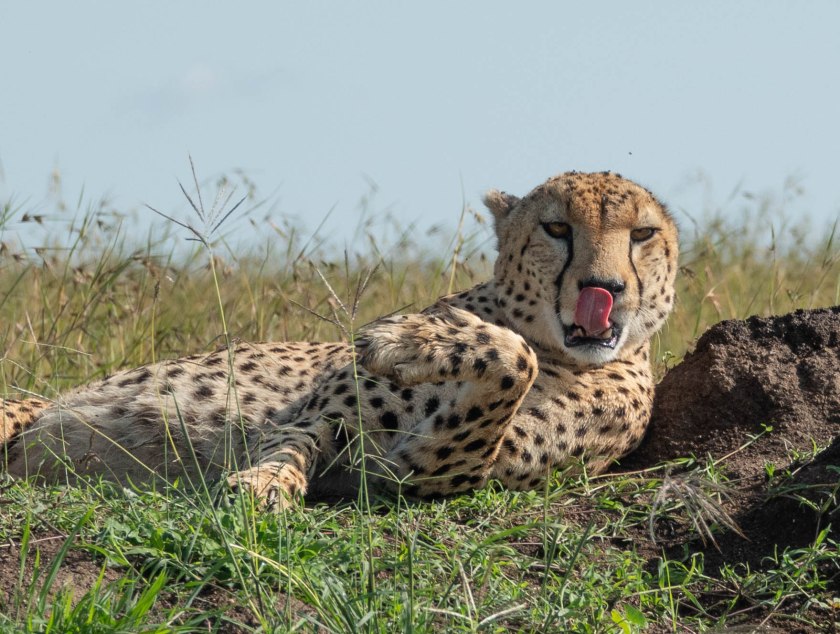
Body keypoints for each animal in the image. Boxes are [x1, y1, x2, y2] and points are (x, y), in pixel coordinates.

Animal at [0, 171, 678, 508]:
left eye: (642, 234)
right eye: (557, 228)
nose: (604, 288)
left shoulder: (425, 472)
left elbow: (516, 364)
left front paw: (408, 339)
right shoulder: (325, 415)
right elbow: (291, 442)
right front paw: (265, 484)